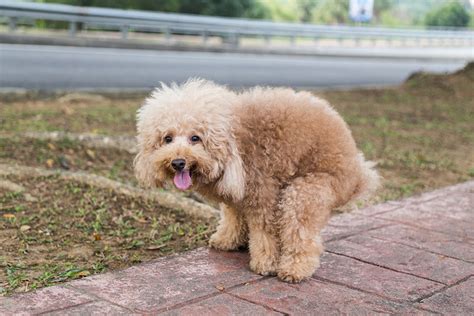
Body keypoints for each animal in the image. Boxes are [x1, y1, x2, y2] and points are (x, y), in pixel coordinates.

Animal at [135, 78, 380, 282]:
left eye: (195, 138)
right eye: (167, 138)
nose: (178, 162)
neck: (234, 139)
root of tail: (358, 174)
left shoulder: (262, 192)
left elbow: (265, 232)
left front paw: (266, 263)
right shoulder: (236, 195)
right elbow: (233, 217)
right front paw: (227, 240)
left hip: (307, 190)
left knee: (300, 231)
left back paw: (294, 269)